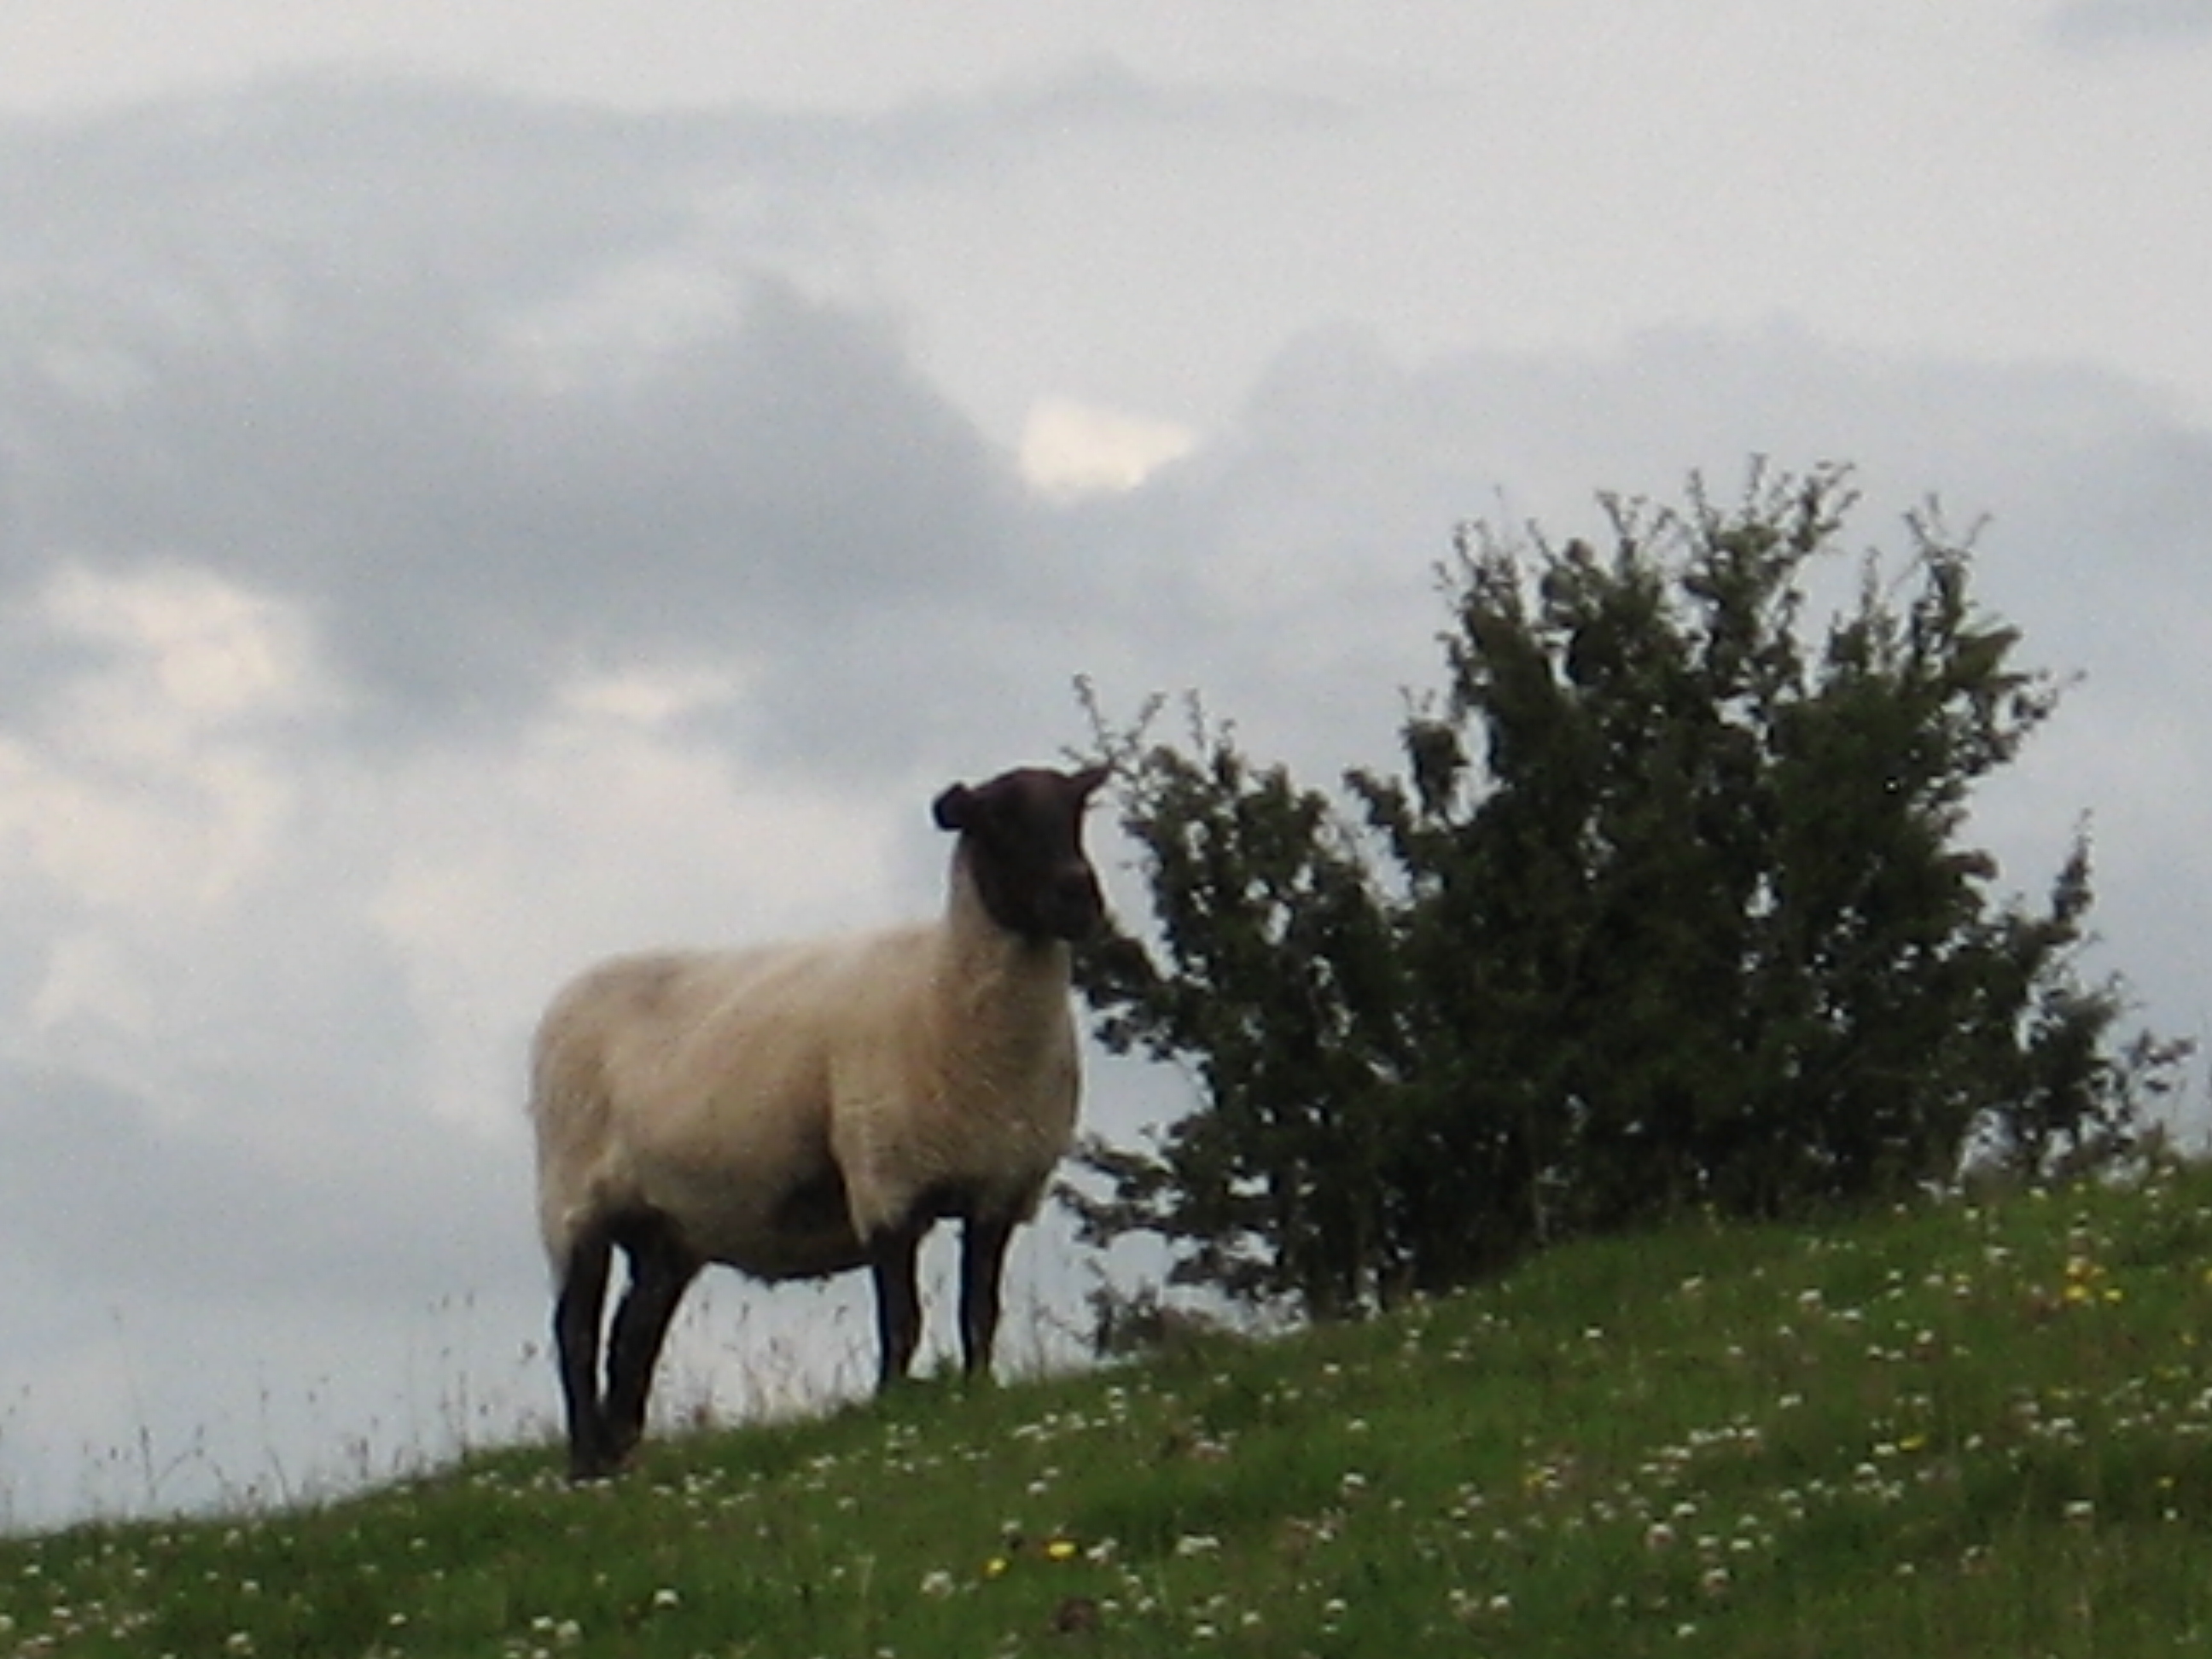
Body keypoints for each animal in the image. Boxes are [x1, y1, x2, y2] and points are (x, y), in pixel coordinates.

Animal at [528, 762, 1110, 1479]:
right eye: (997, 818)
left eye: (1076, 810)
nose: (1079, 896)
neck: (944, 986)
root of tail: (567, 995)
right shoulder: (885, 1179)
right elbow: (902, 1318)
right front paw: (893, 1405)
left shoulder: (998, 1189)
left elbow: (980, 1310)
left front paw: (978, 1392)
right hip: (572, 1200)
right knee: (575, 1331)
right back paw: (587, 1462)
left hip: (668, 1227)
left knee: (633, 1336)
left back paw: (622, 1455)